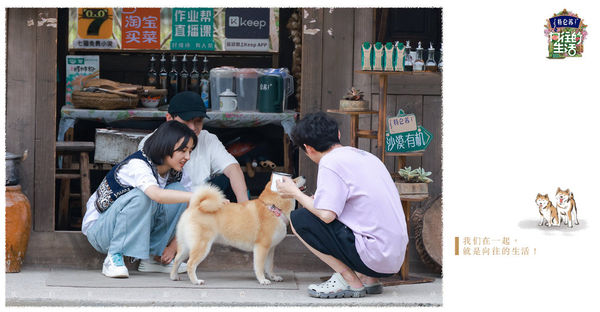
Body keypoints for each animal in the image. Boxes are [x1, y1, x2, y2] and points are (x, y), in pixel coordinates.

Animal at [171, 176, 308, 286]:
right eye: (293, 181)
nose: (304, 176)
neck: (274, 208)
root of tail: (196, 206)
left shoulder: (271, 249)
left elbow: (269, 266)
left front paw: (273, 277)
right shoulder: (261, 247)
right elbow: (259, 267)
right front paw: (262, 280)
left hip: (186, 247)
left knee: (177, 260)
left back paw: (174, 276)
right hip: (202, 246)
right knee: (190, 264)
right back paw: (196, 281)